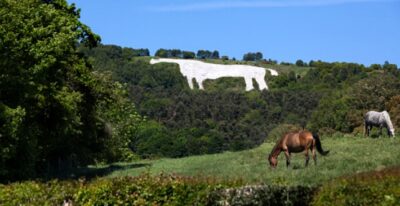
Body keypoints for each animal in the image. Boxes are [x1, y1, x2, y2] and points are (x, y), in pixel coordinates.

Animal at [148, 58, 276, 90]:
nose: (152, 61)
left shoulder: (197, 76)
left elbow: (197, 82)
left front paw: (200, 89)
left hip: (253, 76)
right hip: (254, 77)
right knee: (260, 84)